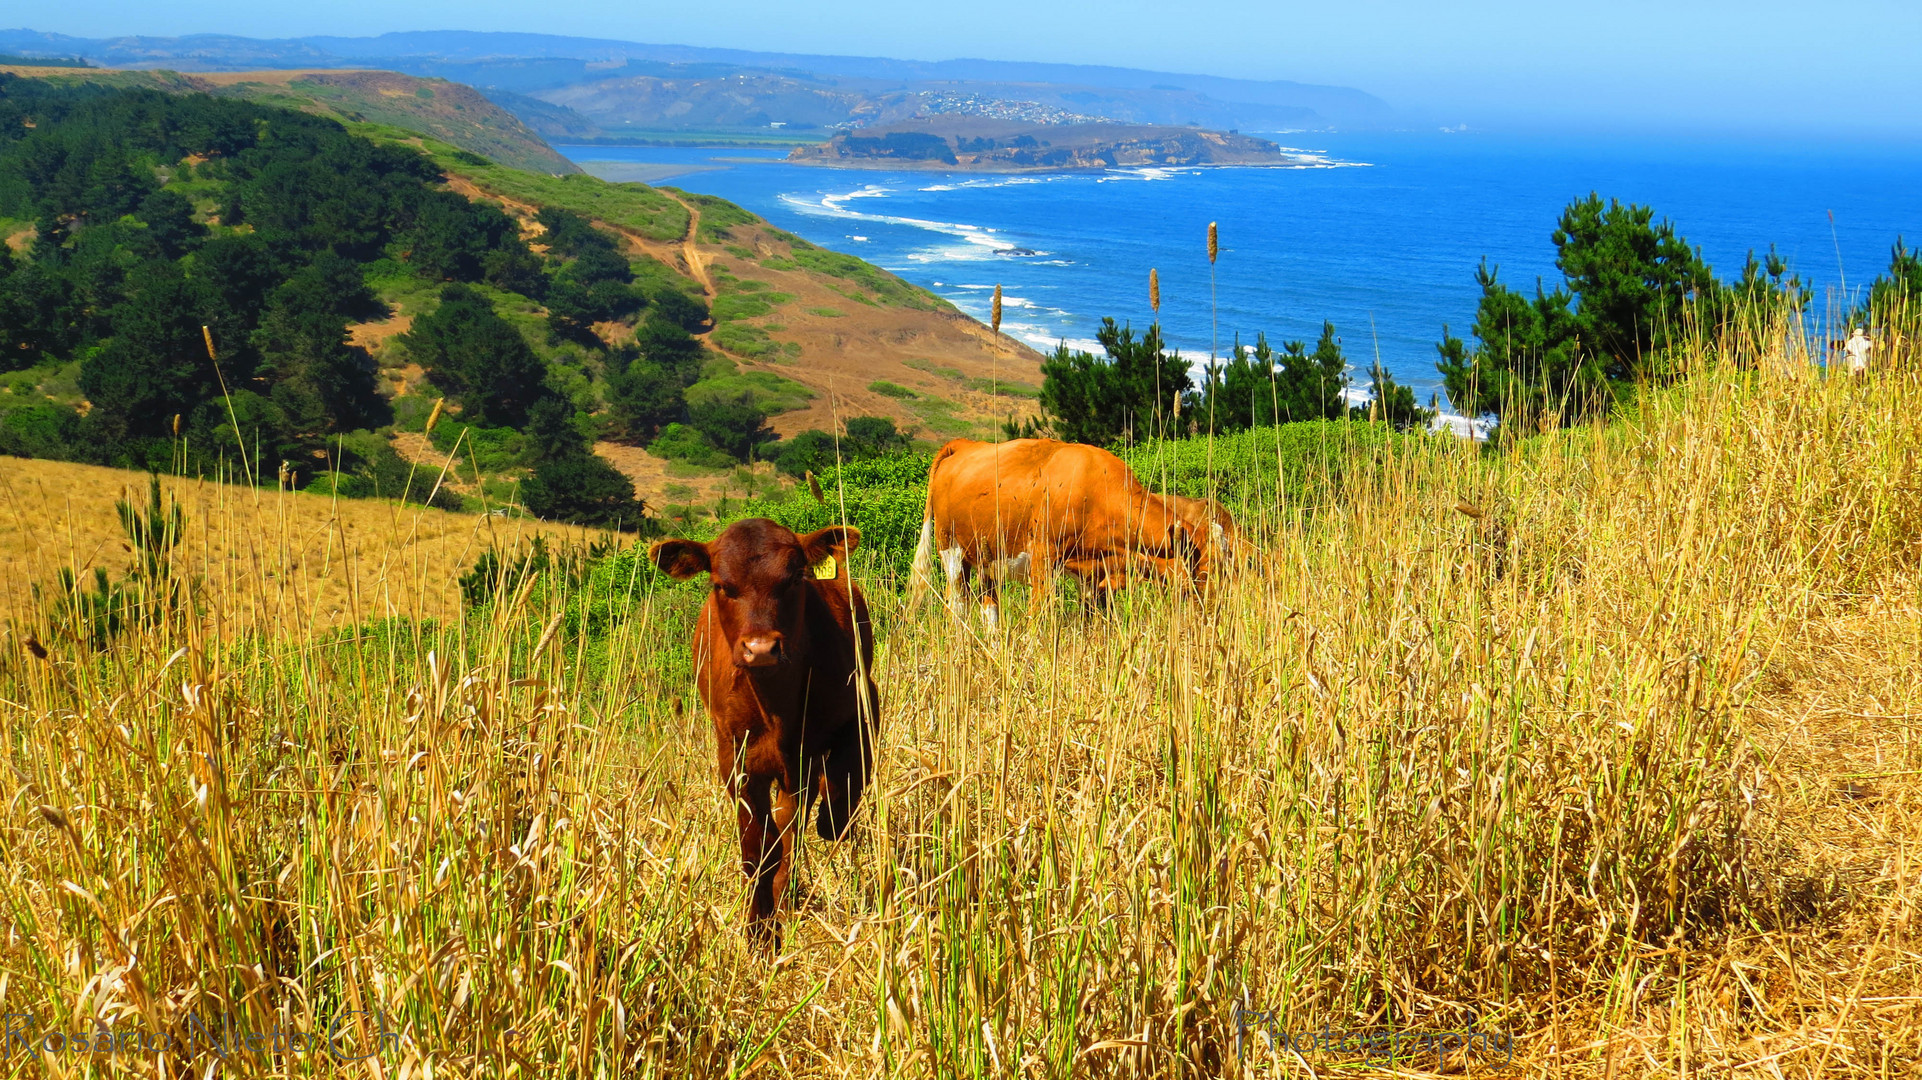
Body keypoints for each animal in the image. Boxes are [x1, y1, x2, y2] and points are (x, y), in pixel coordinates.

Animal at [653, 518, 880, 937]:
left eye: (794, 578)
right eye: (721, 585)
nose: (760, 649)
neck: (777, 709)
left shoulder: (860, 710)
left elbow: (835, 804)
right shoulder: (735, 759)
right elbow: (758, 847)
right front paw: (759, 930)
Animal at [911, 438, 1207, 622]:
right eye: (1206, 568)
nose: (1211, 611)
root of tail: (962, 444)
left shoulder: (1094, 574)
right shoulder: (1043, 558)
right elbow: (1038, 619)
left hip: (987, 559)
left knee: (989, 611)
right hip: (952, 552)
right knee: (956, 609)